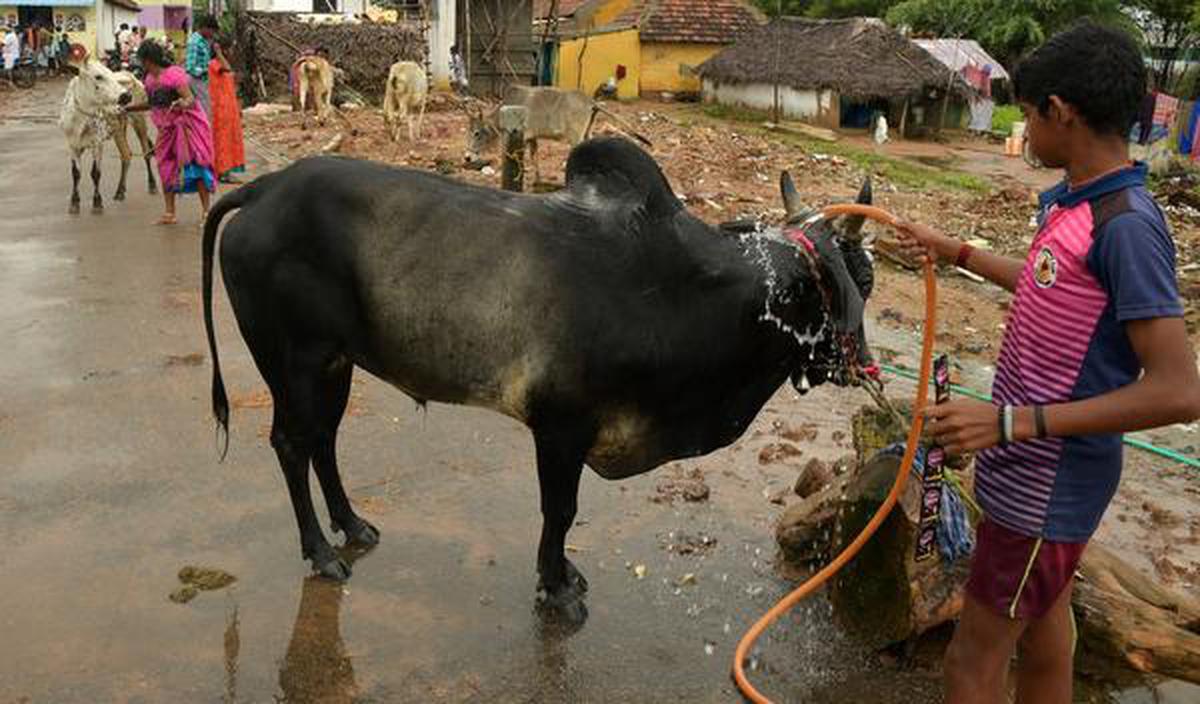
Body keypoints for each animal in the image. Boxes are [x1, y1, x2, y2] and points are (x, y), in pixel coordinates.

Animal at [60, 58, 133, 213]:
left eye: (110, 72)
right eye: (98, 76)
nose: (127, 96)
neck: (79, 121)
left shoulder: (97, 144)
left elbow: (95, 173)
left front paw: (97, 202)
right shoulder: (72, 146)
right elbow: (75, 173)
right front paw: (74, 202)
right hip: (119, 131)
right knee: (126, 155)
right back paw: (120, 191)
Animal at [206, 137, 878, 623]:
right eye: (855, 282)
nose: (865, 365)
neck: (688, 294)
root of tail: (266, 189)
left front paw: (561, 577)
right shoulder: (561, 427)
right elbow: (560, 510)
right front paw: (556, 589)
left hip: (335, 365)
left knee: (322, 441)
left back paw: (352, 526)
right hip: (295, 363)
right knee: (291, 444)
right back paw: (321, 553)